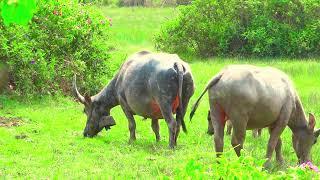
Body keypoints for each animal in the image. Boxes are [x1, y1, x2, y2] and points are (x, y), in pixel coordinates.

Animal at [190, 65, 320, 167]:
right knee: (236, 141)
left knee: (218, 140)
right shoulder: (282, 121)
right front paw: (266, 164)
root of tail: (222, 74)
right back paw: (245, 162)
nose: (307, 161)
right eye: (314, 141)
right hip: (239, 118)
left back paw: (219, 164)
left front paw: (280, 162)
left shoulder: (272, 123)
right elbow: (272, 143)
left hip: (216, 112)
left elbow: (278, 143)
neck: (292, 97)